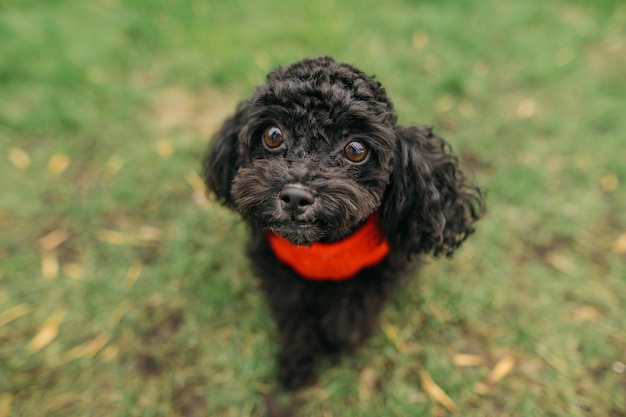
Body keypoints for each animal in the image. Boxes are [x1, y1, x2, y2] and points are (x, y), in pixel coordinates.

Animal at [200, 56, 482, 390]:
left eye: (356, 150)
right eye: (273, 135)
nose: (296, 196)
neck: (323, 248)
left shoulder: (376, 273)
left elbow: (346, 321)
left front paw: (337, 344)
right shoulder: (280, 272)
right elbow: (295, 320)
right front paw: (298, 364)